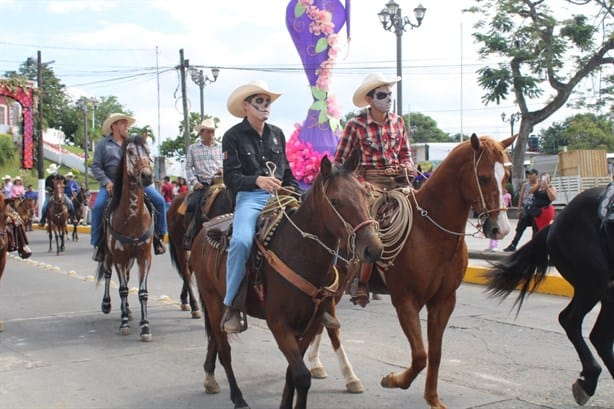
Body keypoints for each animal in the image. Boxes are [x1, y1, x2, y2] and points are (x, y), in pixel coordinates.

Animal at [95, 135, 156, 342]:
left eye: (148, 151)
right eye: (129, 152)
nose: (147, 176)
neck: (132, 218)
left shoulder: (144, 256)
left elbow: (143, 292)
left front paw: (145, 327)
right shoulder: (120, 257)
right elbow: (122, 290)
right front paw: (124, 324)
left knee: (127, 279)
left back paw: (128, 310)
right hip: (108, 255)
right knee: (107, 274)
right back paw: (107, 305)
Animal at [192, 151, 384, 408]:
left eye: (365, 193)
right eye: (335, 201)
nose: (373, 248)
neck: (299, 253)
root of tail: (204, 230)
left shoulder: (310, 323)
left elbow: (293, 371)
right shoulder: (279, 324)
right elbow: (302, 375)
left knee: (215, 339)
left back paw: (210, 379)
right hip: (212, 300)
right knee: (224, 350)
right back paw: (238, 397)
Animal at [306, 132, 516, 406]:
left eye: (507, 176)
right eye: (483, 177)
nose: (500, 229)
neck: (430, 233)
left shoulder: (444, 301)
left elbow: (435, 352)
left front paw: (433, 399)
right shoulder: (406, 301)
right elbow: (419, 355)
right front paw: (393, 380)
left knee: (323, 321)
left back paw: (317, 364)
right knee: (330, 326)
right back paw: (347, 376)